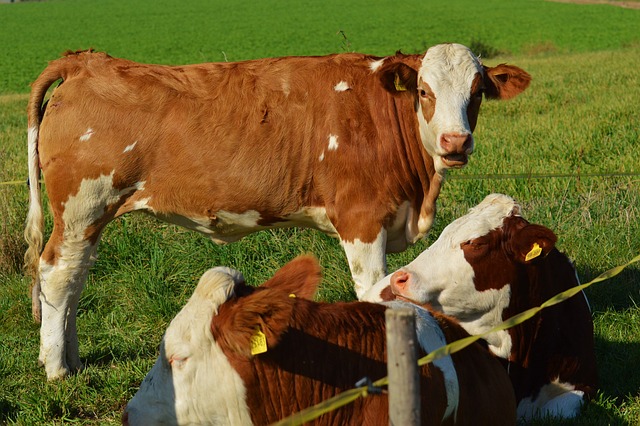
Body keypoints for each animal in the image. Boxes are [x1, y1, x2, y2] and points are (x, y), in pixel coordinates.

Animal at [25, 43, 528, 380]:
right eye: (424, 91)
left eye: (477, 92)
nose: (455, 143)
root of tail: (87, 61)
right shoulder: (362, 221)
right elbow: (374, 292)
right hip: (81, 209)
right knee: (57, 275)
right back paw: (56, 367)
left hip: (89, 217)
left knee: (74, 277)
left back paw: (71, 357)